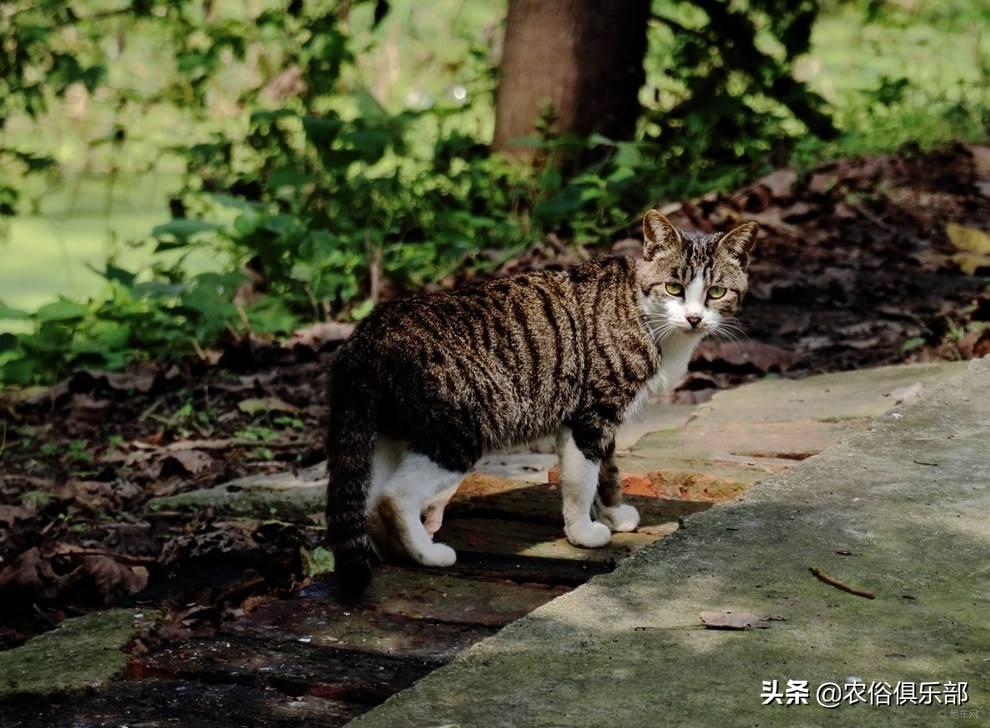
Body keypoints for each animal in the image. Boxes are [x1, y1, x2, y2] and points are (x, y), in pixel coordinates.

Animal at [328, 210, 760, 596]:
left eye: (716, 292)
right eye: (673, 288)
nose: (694, 318)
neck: (644, 314)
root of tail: (369, 334)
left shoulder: (598, 416)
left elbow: (608, 470)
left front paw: (614, 514)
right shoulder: (592, 413)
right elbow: (581, 479)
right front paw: (583, 533)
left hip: (391, 433)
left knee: (369, 499)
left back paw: (391, 551)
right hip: (459, 431)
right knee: (393, 496)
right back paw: (427, 554)